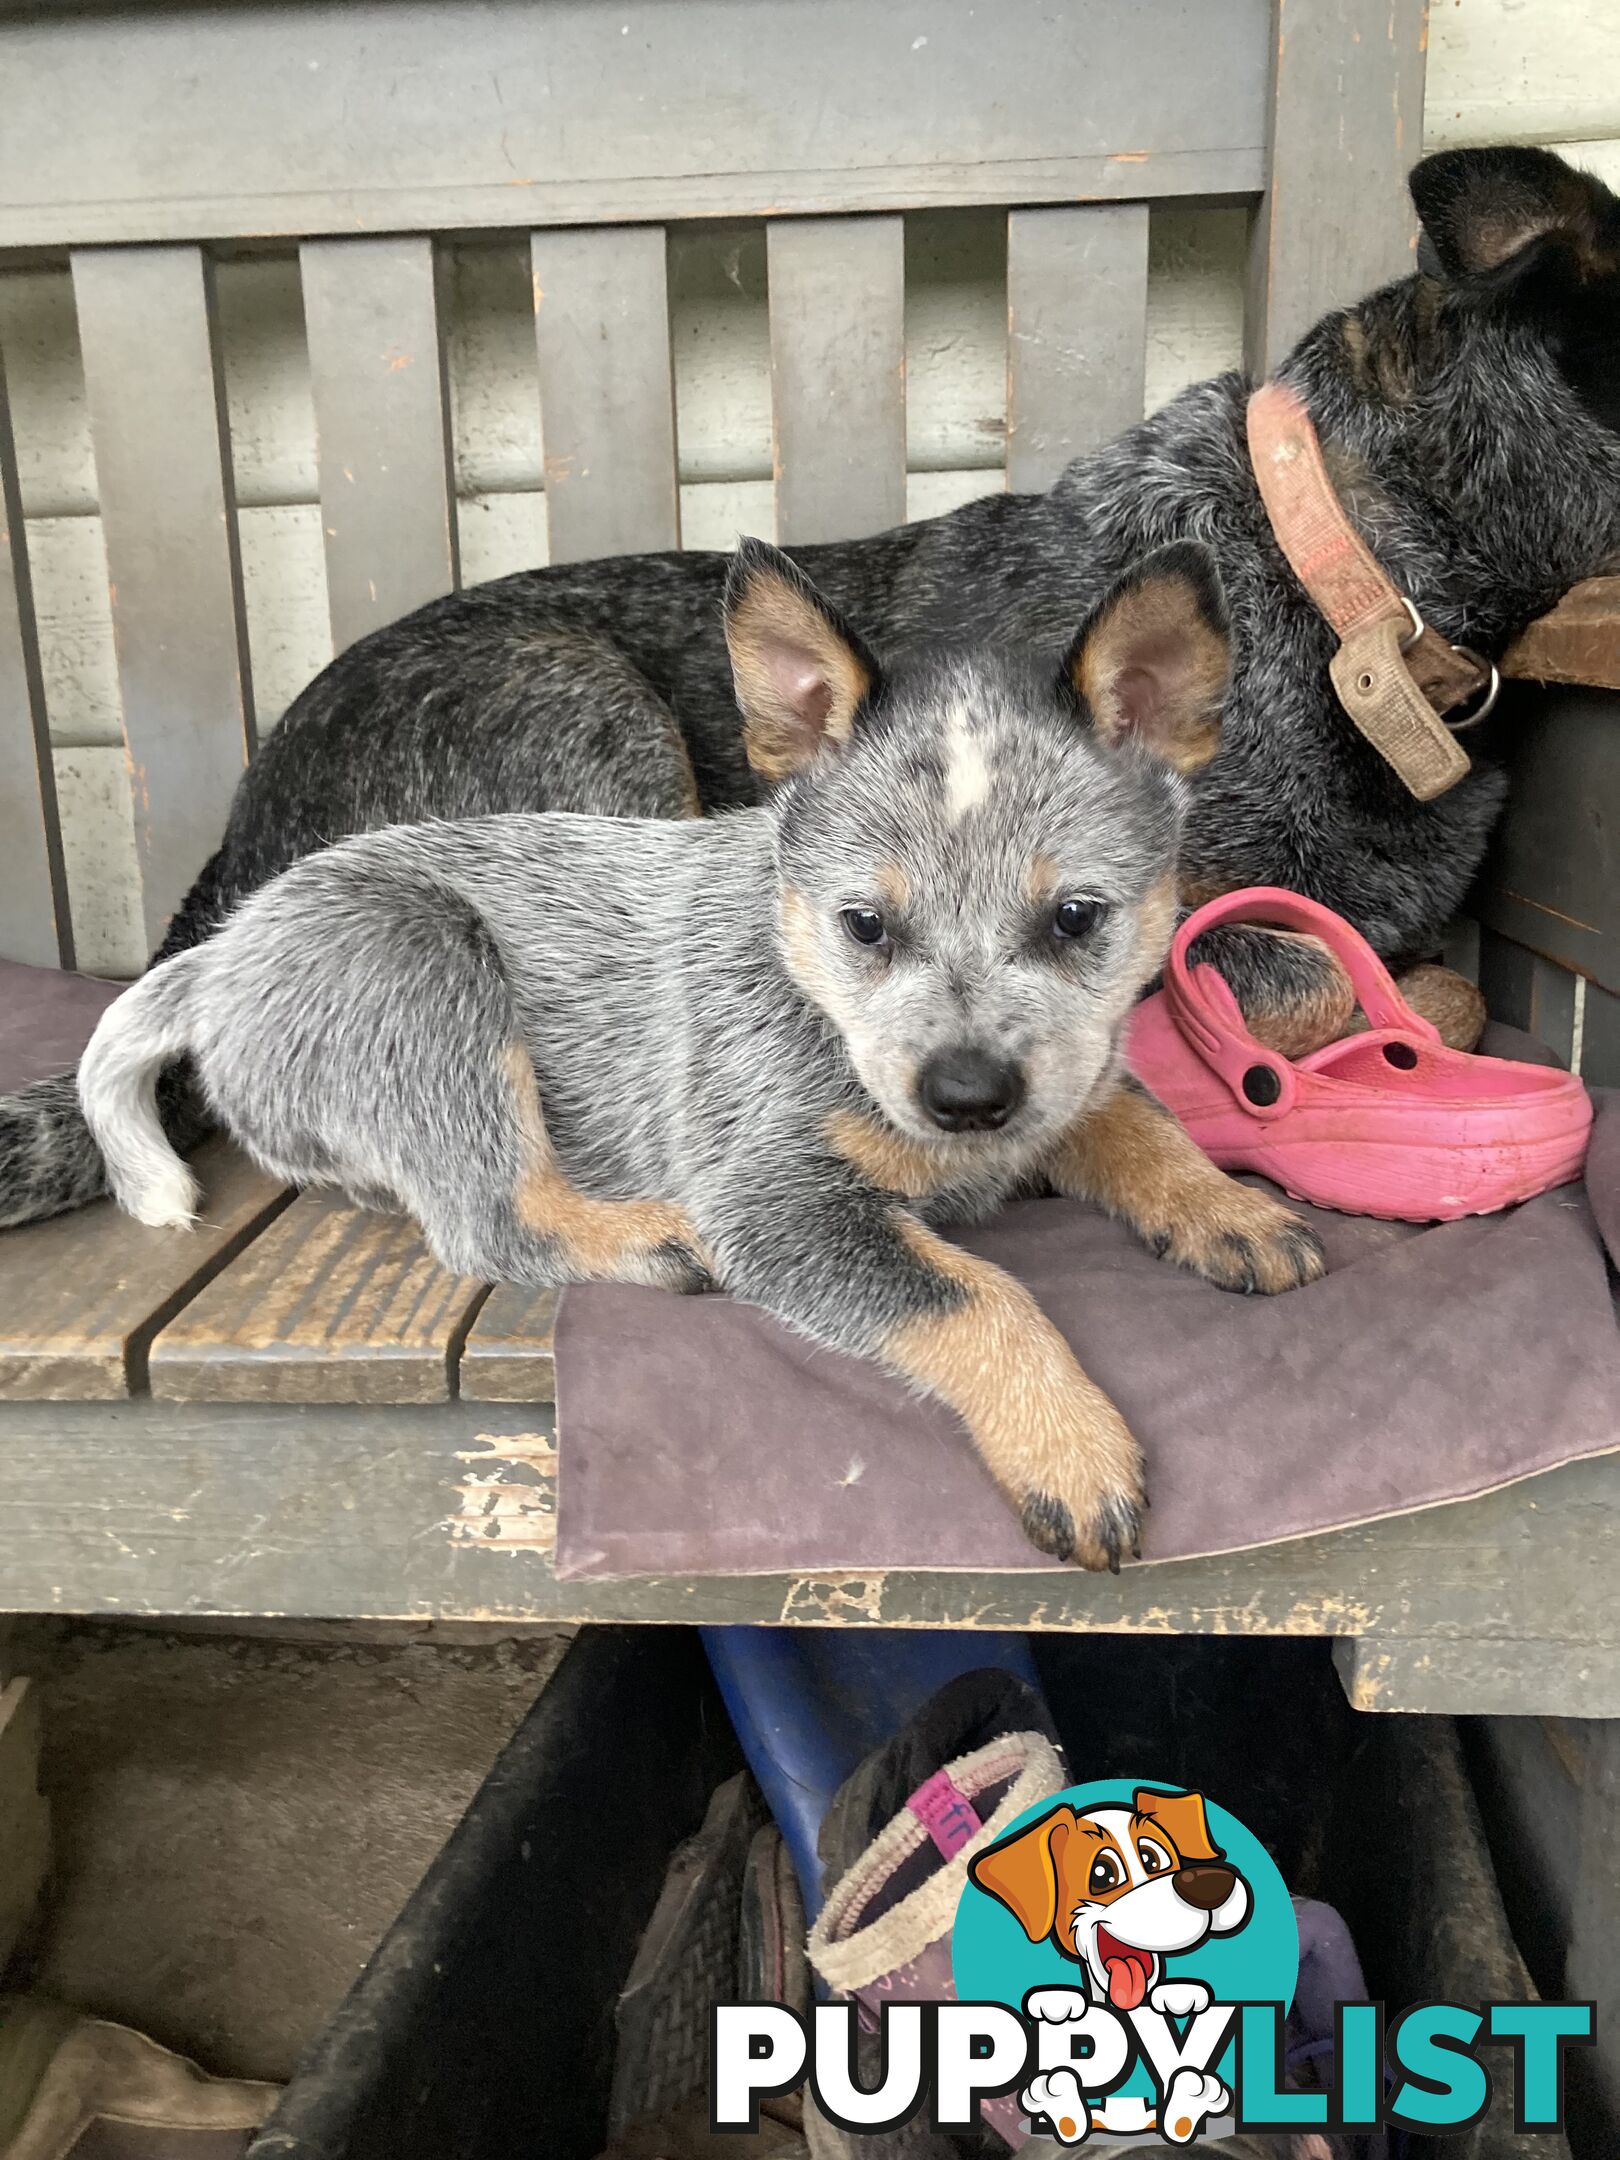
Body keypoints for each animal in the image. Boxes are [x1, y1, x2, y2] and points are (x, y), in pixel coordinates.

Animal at [72, 531, 1321, 1563]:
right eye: (865, 924)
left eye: (1076, 919)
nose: (966, 1095)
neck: (814, 998)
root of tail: (220, 955)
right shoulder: (772, 1200)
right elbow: (978, 1295)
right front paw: (1069, 1443)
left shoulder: (1066, 1081)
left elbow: (1135, 1120)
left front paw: (1225, 1207)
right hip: (427, 966)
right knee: (489, 1219)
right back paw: (646, 1238)